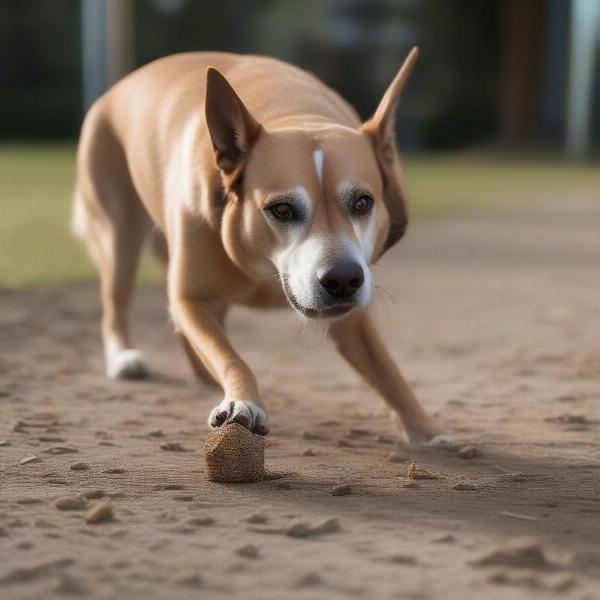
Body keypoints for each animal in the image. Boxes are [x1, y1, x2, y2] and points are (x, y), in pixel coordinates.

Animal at [72, 48, 446, 446]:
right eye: (281, 209)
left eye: (362, 203)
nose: (343, 280)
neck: (293, 115)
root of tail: (120, 87)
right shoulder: (190, 300)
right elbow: (230, 357)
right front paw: (243, 402)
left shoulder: (351, 314)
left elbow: (384, 366)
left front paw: (425, 429)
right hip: (120, 234)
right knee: (117, 300)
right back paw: (123, 357)